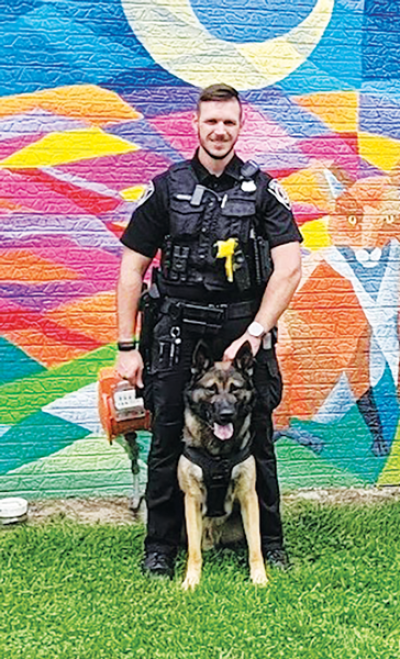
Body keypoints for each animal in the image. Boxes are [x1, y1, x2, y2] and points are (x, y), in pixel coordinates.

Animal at [179, 342, 268, 592]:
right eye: (211, 389)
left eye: (235, 389)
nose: (226, 415)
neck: (218, 453)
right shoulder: (192, 498)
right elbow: (193, 552)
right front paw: (191, 580)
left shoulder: (248, 496)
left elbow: (255, 545)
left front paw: (259, 577)